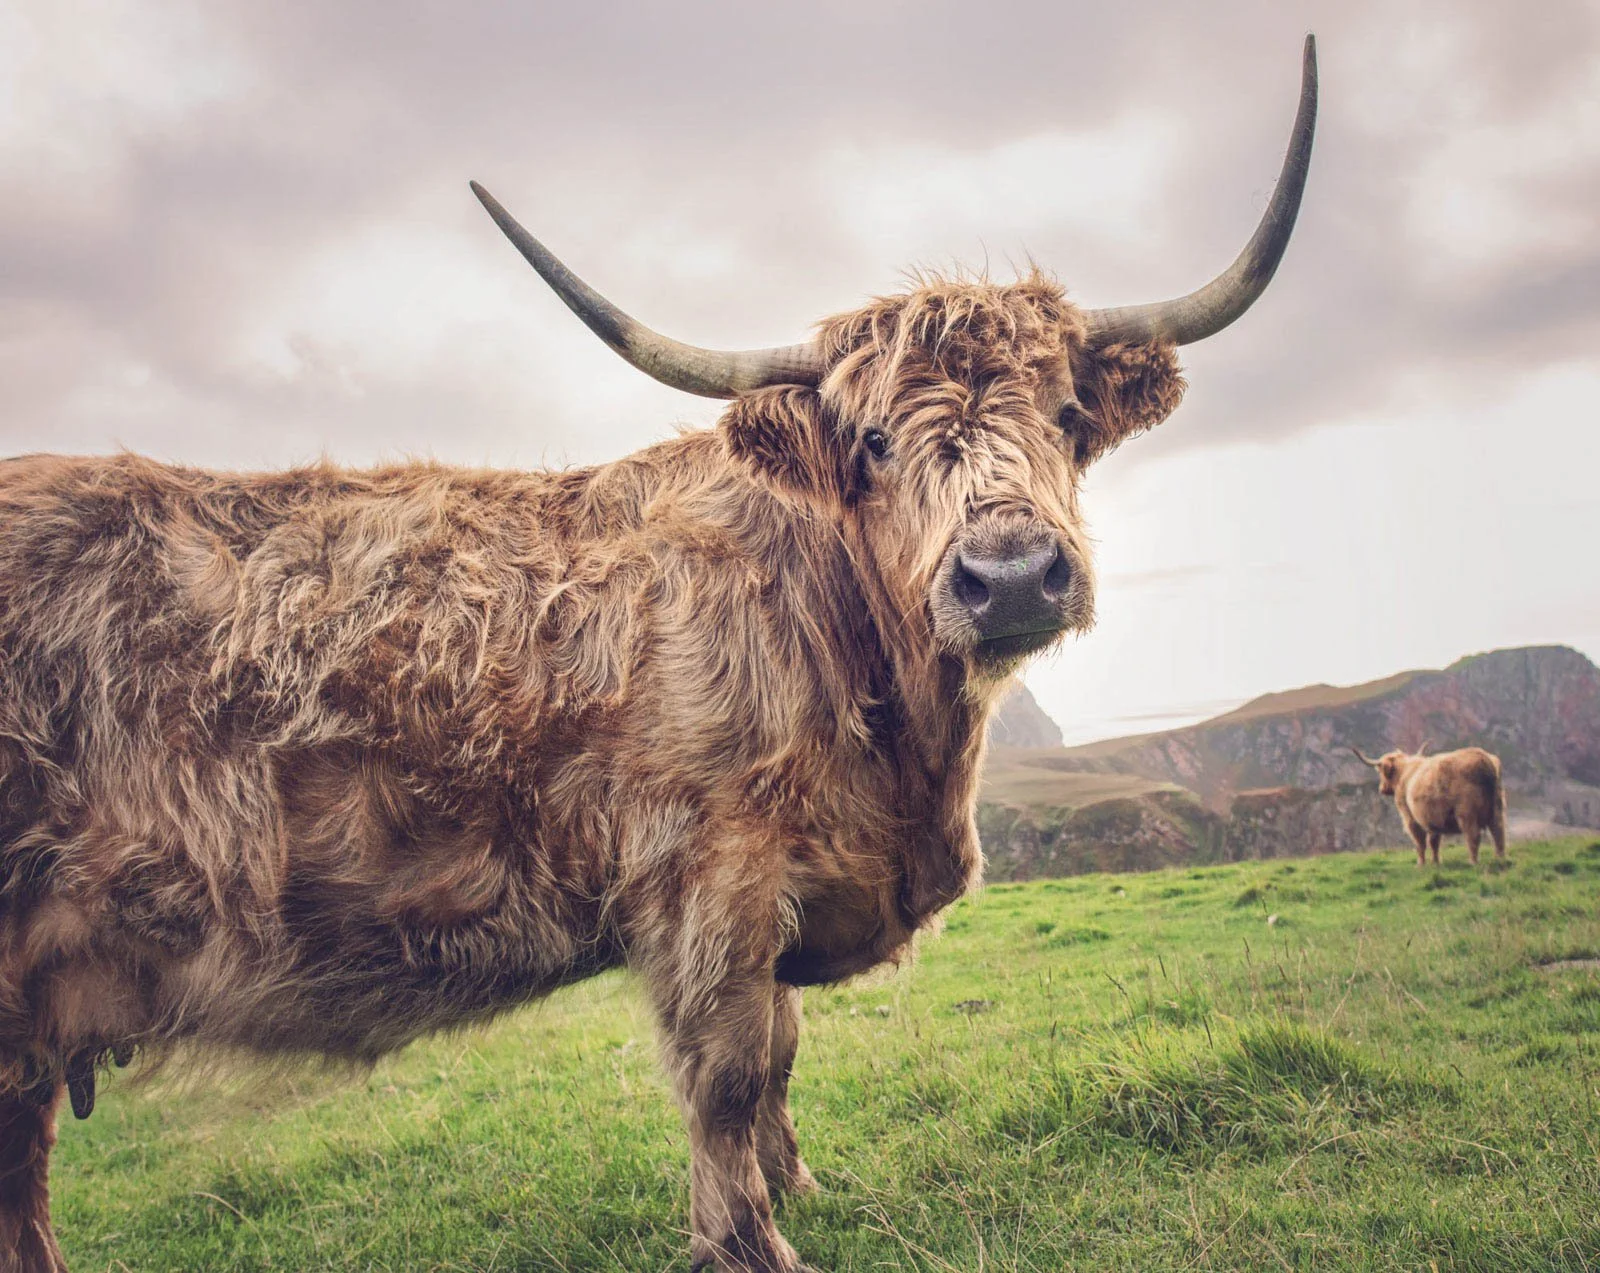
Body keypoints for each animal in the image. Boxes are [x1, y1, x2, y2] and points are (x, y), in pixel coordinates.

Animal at [0, 40, 1316, 1273]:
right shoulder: (707, 880)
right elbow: (726, 1072)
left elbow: (780, 1057)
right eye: (874, 440)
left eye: (1065, 417)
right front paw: (747, 1240)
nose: (1006, 575)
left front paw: (799, 1189)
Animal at [1350, 743, 1508, 868]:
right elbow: (1434, 842)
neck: (1403, 773)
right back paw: (1499, 859)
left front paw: (1420, 864)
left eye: (1381, 772)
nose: (1381, 789)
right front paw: (1436, 862)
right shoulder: (1433, 819)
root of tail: (1483, 759)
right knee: (1498, 832)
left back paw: (1473, 862)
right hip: (1497, 808)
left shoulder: (1410, 818)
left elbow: (1419, 842)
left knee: (1473, 835)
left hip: (1467, 813)